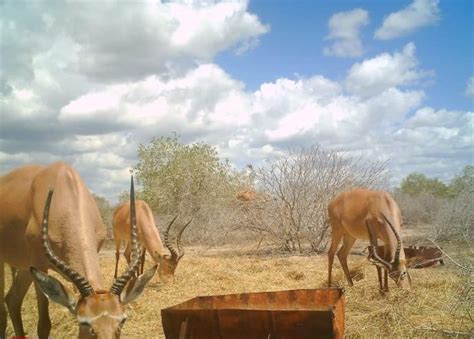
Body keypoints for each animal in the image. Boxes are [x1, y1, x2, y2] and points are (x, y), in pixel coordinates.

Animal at [0, 163, 154, 338]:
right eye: (85, 323)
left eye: (122, 320)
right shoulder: (39, 265)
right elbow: (44, 325)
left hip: (27, 269)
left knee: (12, 300)